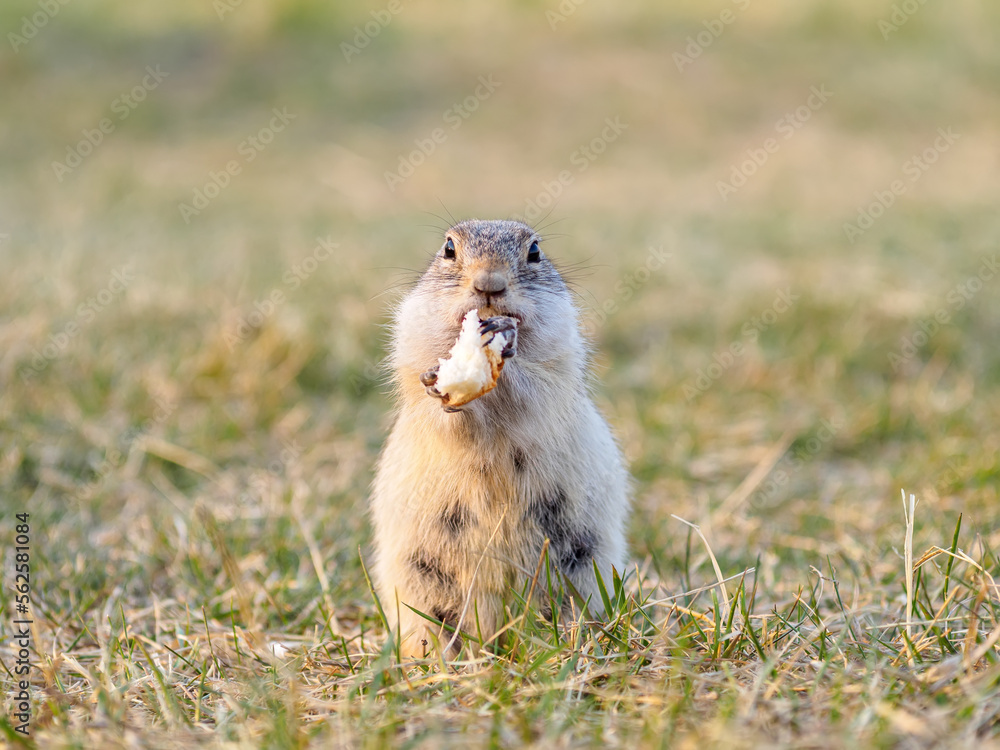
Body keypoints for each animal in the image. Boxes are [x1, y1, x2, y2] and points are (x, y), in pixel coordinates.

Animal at [372, 217, 628, 656]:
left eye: (535, 251)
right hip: (418, 579)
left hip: (581, 567)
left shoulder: (559, 363)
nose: (488, 284)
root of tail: (493, 632)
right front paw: (437, 382)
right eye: (449, 249)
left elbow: (535, 387)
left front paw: (502, 347)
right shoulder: (410, 344)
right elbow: (436, 409)